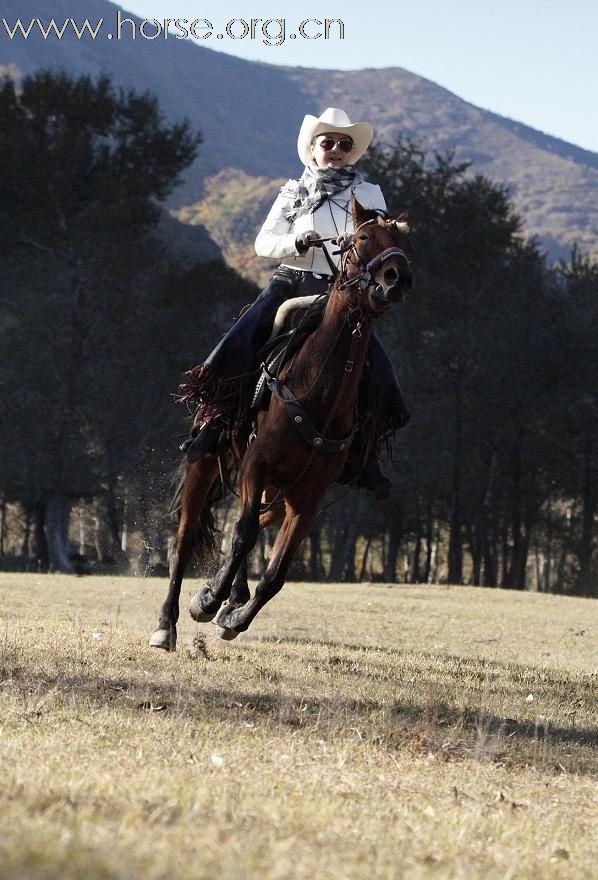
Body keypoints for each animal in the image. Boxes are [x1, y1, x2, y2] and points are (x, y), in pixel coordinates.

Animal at [149, 199, 418, 648]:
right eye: (363, 237)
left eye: (406, 244)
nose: (397, 279)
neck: (317, 393)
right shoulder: (256, 466)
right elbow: (241, 536)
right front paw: (207, 602)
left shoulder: (308, 496)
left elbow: (274, 572)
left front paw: (232, 616)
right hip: (206, 463)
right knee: (185, 541)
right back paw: (166, 624)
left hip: (279, 493)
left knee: (250, 527)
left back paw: (231, 595)